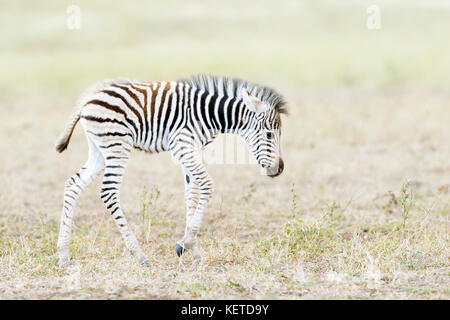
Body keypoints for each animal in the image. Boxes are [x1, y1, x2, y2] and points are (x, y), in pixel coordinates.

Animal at [56, 74, 286, 266]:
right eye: (269, 134)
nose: (280, 168)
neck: (208, 114)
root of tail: (88, 100)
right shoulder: (181, 146)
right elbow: (207, 185)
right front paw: (185, 244)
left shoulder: (192, 150)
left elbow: (191, 194)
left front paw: (194, 251)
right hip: (117, 145)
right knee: (108, 192)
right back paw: (139, 254)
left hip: (99, 150)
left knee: (73, 185)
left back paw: (64, 255)